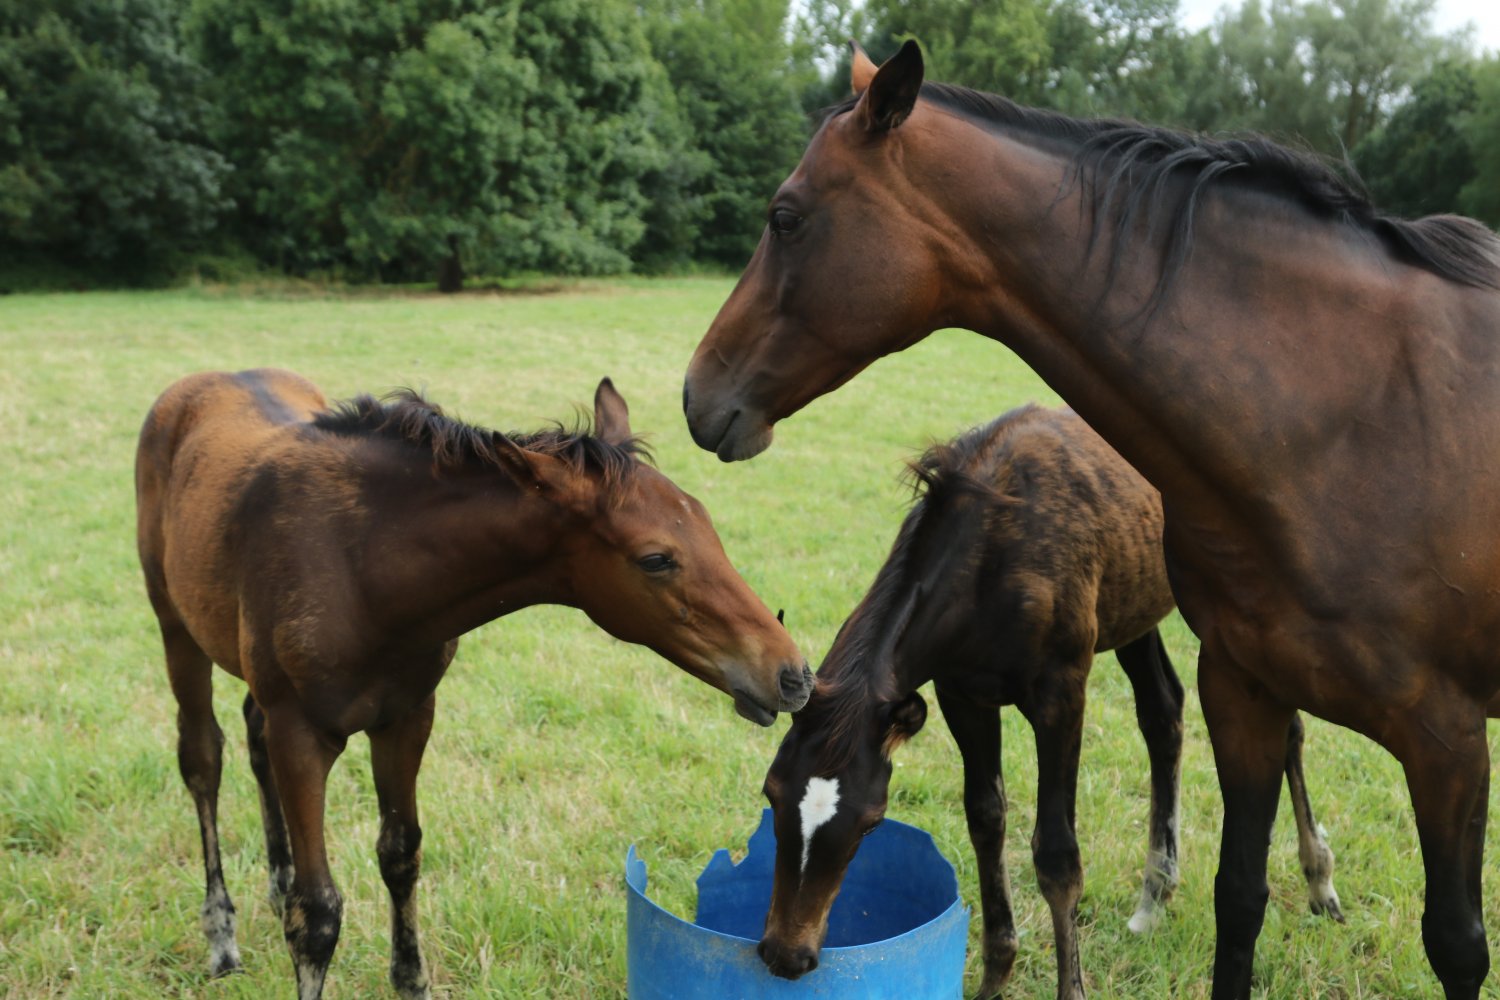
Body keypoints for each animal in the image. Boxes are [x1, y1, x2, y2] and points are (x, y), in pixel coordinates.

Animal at [135, 368, 813, 1000]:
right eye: (655, 559)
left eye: (710, 525)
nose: (793, 675)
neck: (362, 565)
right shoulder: (302, 734)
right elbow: (318, 913)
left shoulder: (407, 717)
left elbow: (400, 853)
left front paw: (411, 979)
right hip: (176, 628)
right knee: (203, 757)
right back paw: (221, 934)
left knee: (253, 735)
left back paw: (273, 882)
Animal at [758, 405, 1340, 999]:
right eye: (770, 792)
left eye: (872, 820)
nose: (786, 954)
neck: (991, 557)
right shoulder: (960, 695)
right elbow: (985, 817)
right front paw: (995, 975)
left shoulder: (1061, 694)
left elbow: (1058, 855)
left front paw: (1069, 986)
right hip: (1134, 610)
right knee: (1163, 710)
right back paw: (1154, 898)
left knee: (1286, 729)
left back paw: (1319, 880)